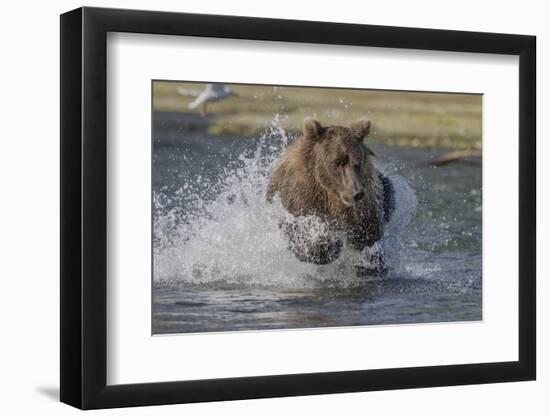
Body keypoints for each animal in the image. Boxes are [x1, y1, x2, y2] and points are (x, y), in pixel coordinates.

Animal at [268, 117, 394, 272]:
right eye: (337, 162)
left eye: (357, 163)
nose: (356, 193)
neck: (331, 195)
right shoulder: (301, 197)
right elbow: (299, 228)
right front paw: (327, 245)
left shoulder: (364, 205)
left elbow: (368, 236)